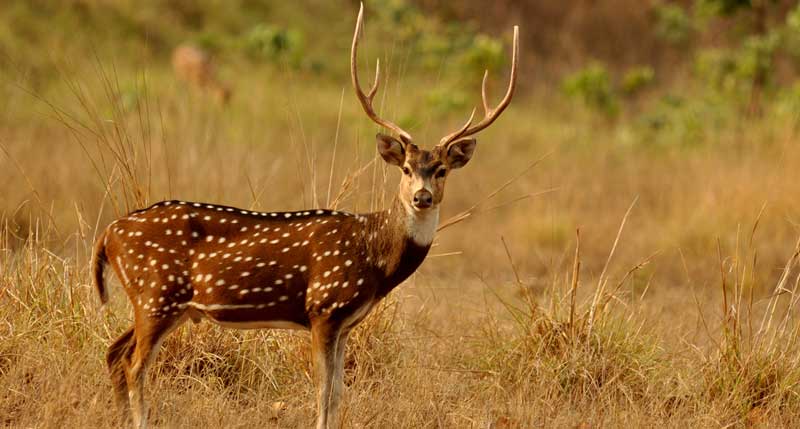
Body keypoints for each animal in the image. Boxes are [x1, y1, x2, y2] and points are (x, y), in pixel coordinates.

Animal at [94, 4, 520, 428]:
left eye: (442, 170)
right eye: (405, 169)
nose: (422, 197)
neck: (373, 255)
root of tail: (109, 234)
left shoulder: (346, 322)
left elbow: (338, 394)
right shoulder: (324, 307)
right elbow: (323, 392)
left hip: (163, 303)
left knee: (114, 353)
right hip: (156, 294)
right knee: (134, 365)